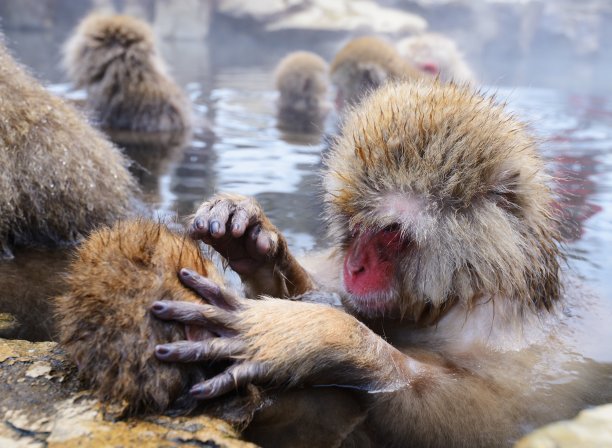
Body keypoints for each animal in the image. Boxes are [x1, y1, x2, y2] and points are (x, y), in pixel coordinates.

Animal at [151, 81, 612, 448]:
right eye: (355, 223)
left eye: (389, 231)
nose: (353, 268)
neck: (457, 294)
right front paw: (253, 243)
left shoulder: (509, 340)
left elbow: (488, 421)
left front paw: (317, 336)